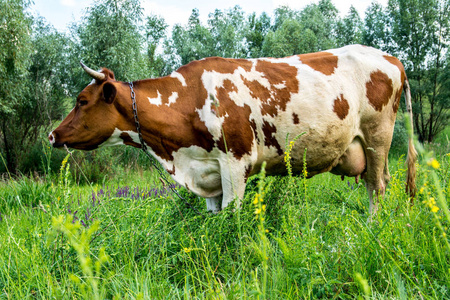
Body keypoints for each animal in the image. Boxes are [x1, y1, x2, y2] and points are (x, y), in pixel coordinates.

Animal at [48, 44, 414, 216]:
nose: (52, 135)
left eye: (82, 100)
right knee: (378, 182)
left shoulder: (235, 163)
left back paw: (372, 227)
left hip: (378, 138)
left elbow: (232, 215)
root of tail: (392, 59)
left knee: (377, 187)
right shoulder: (206, 171)